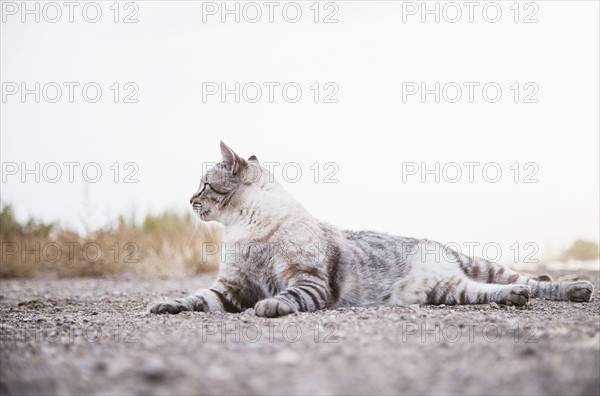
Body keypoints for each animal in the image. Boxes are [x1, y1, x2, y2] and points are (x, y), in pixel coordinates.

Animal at [148, 141, 592, 318]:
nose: (189, 200)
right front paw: (166, 304)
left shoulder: (307, 281)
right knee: (497, 292)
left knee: (531, 282)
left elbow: (286, 296)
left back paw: (575, 288)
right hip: (451, 291)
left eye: (204, 185)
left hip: (478, 265)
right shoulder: (230, 289)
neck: (244, 233)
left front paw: (271, 306)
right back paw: (514, 298)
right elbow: (195, 298)